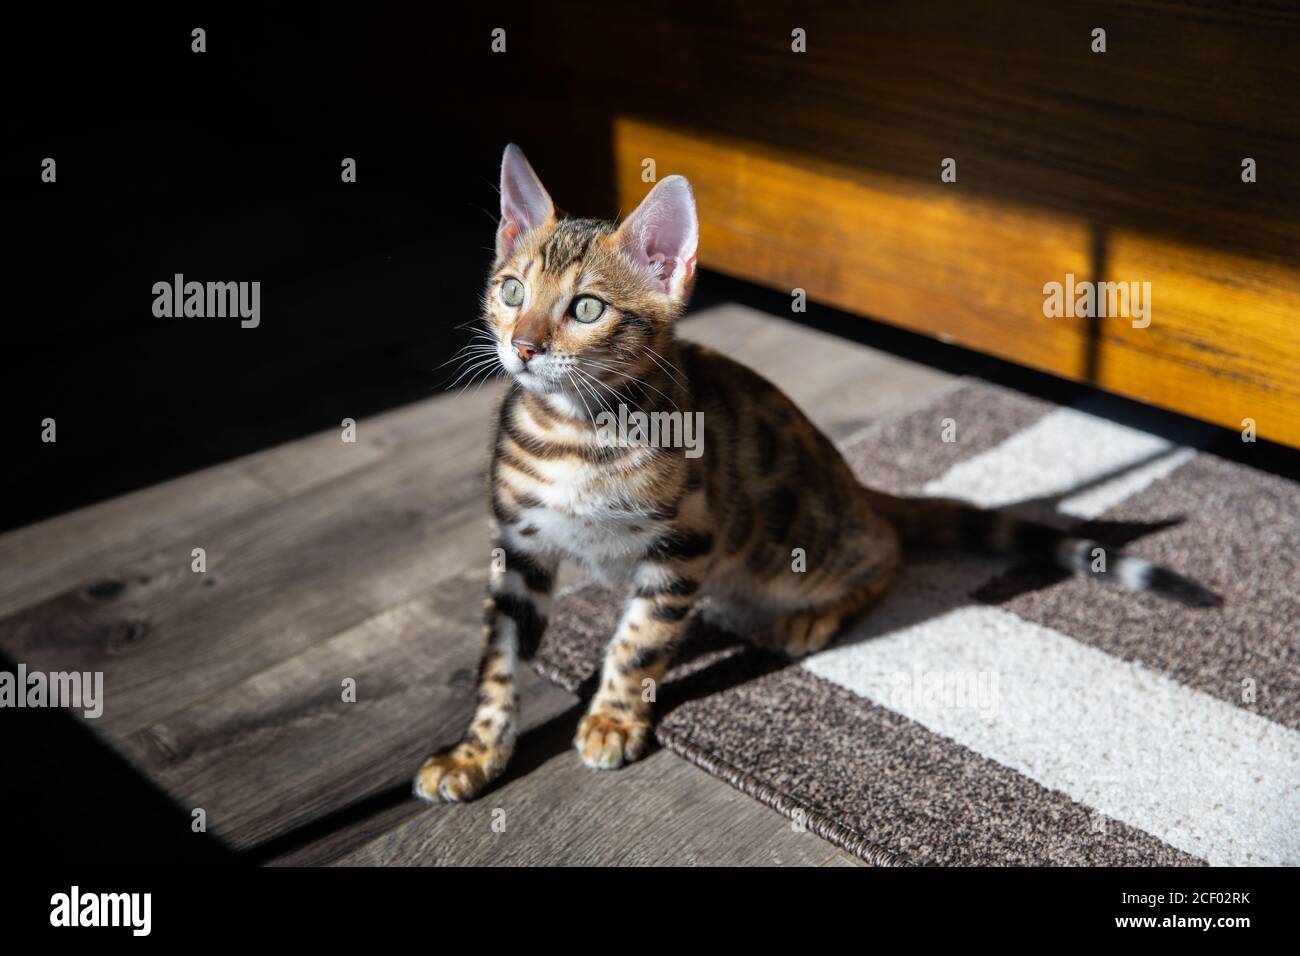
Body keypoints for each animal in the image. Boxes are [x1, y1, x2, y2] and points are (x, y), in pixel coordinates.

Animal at [410, 145, 1211, 806]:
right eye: (512, 292)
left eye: (585, 308)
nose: (522, 347)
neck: (573, 433)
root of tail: (856, 485)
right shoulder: (520, 545)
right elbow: (500, 659)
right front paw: (476, 753)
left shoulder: (684, 543)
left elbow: (638, 641)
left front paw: (611, 717)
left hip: (793, 545)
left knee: (885, 552)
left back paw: (814, 613)